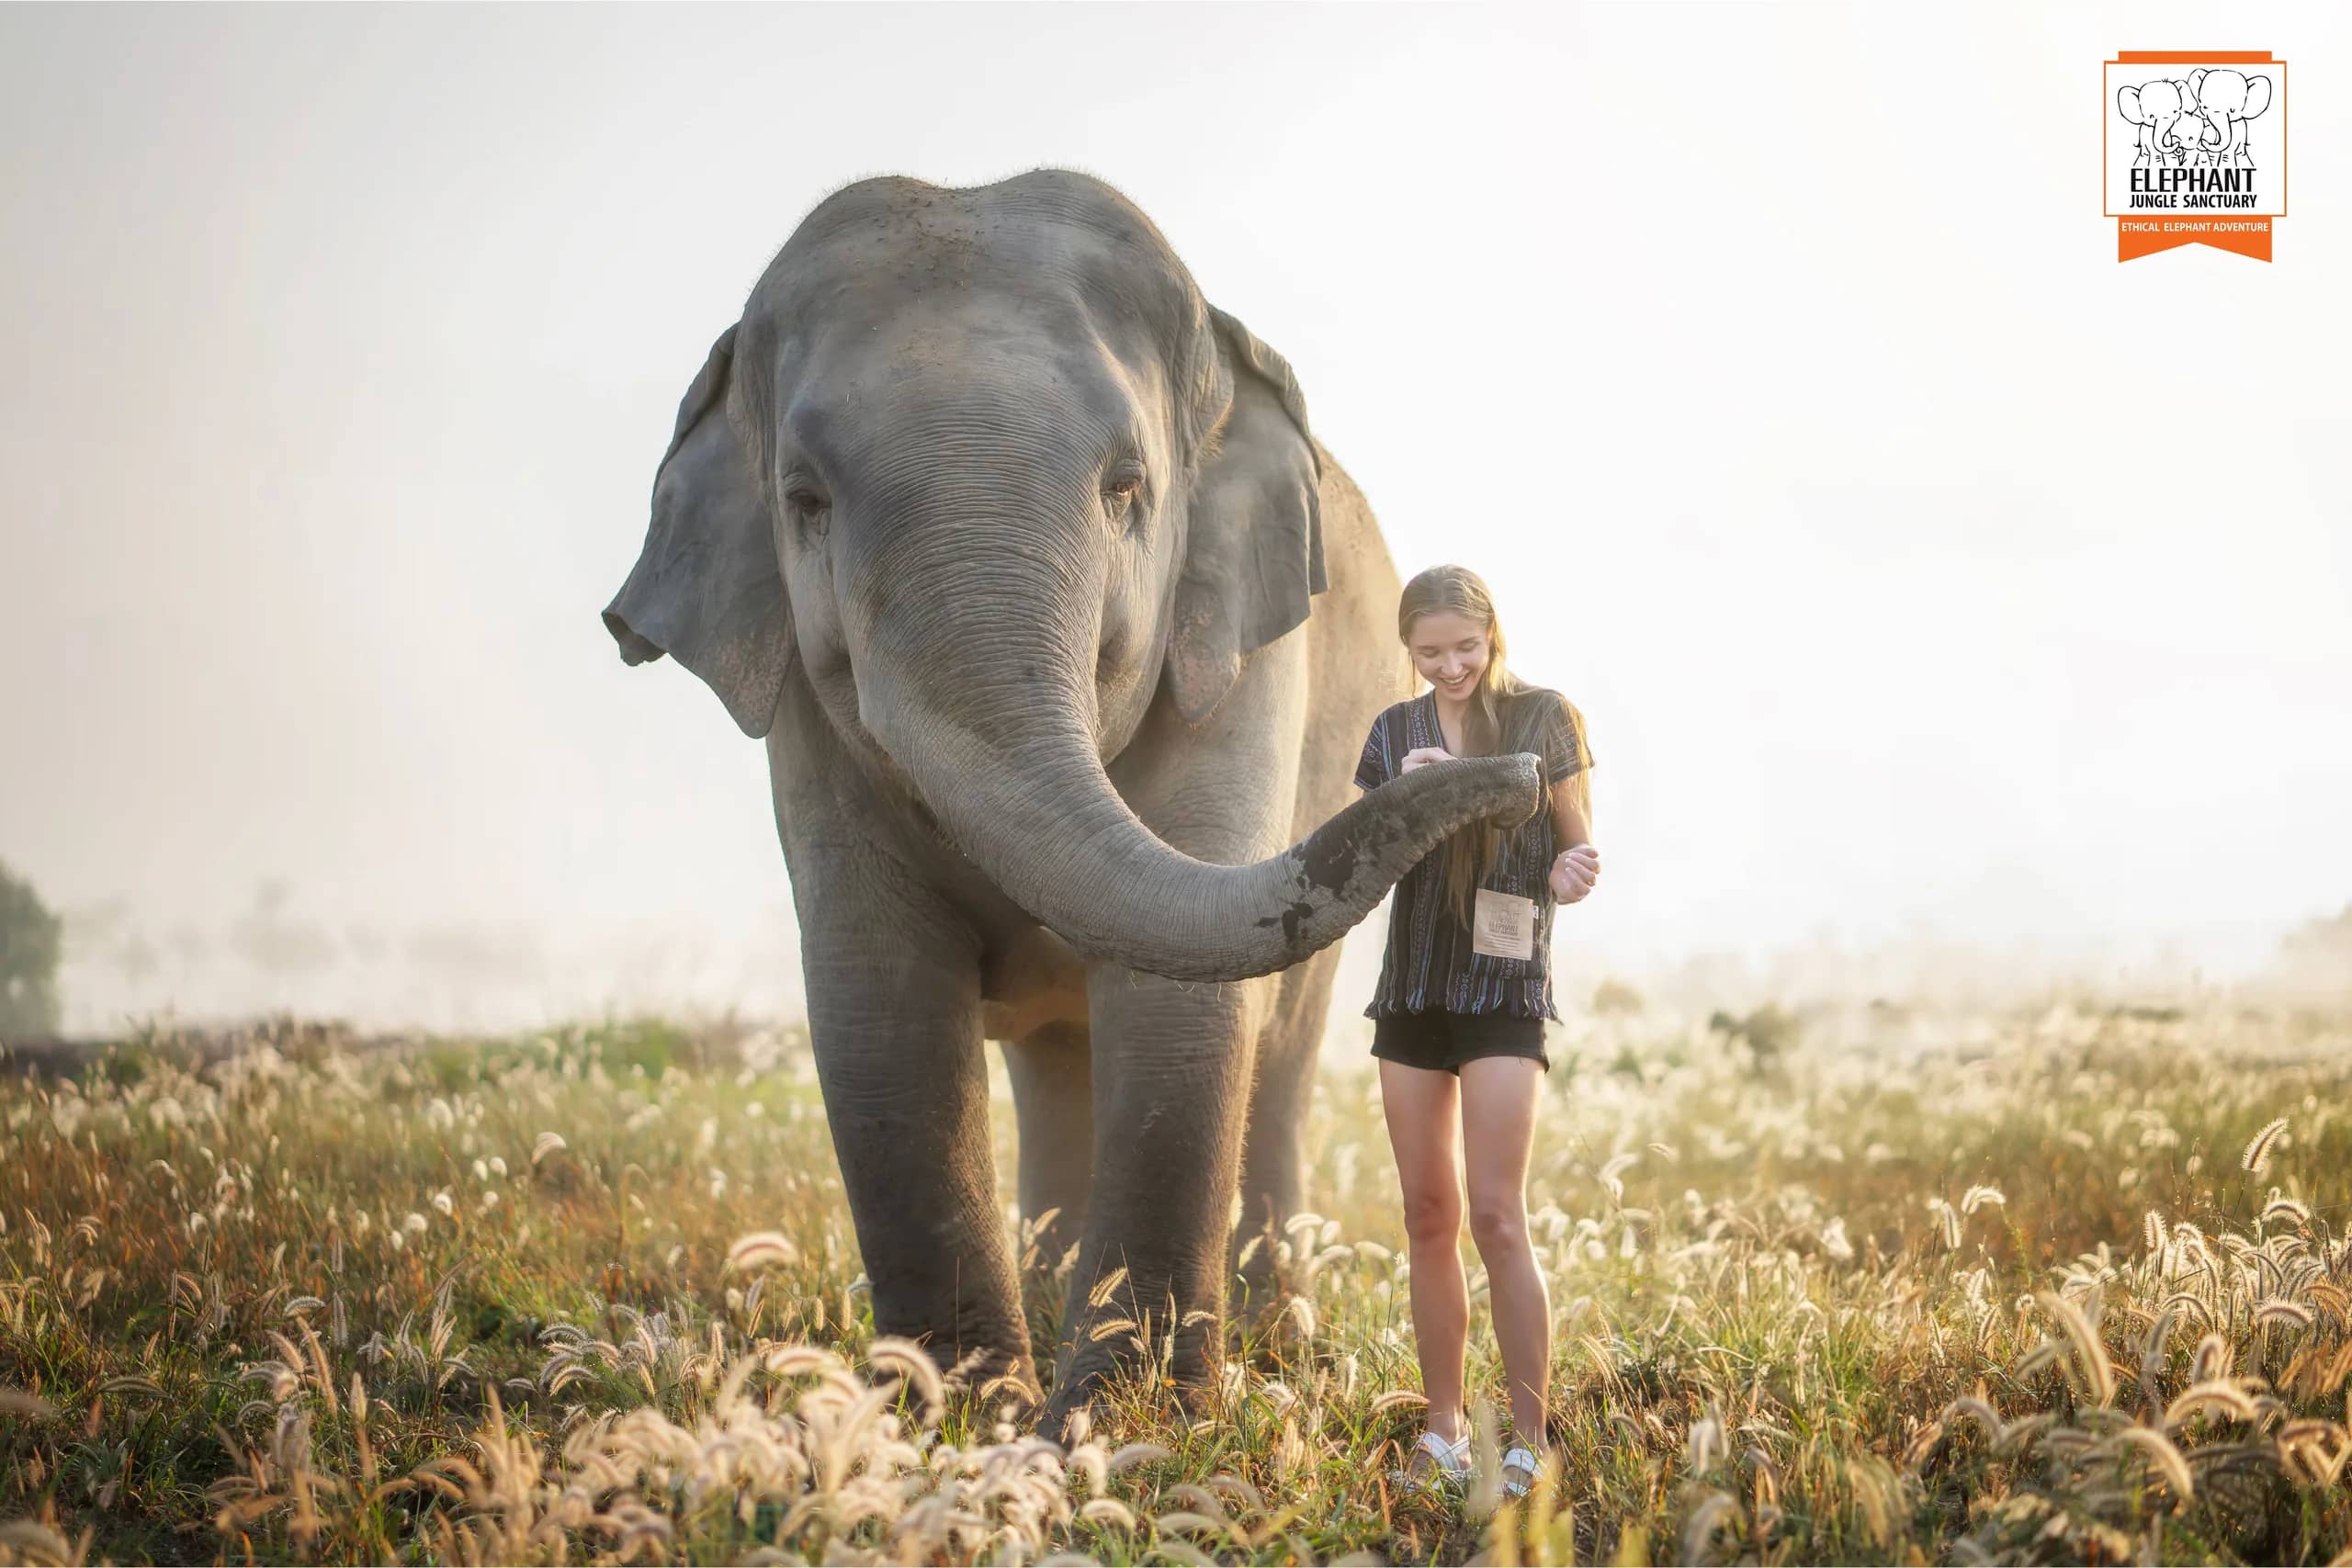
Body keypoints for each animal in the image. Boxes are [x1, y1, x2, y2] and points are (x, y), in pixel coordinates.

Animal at [601, 170, 1547, 1429]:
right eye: (803, 500)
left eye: (1126, 489)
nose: (1520, 779)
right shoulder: (803, 701)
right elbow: (877, 997)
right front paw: (956, 1419)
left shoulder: (1240, 646)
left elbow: (1178, 1008)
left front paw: (1126, 1424)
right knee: (1052, 1062)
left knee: (1279, 1055)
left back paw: (1269, 1342)